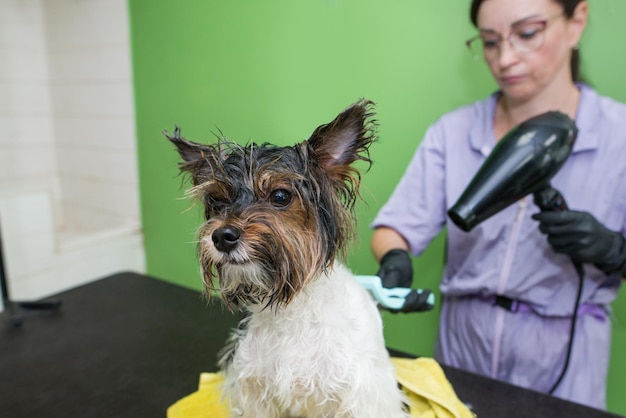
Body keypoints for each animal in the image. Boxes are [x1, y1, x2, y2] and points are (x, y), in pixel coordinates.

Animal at [166, 99, 408, 416]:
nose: (221, 236)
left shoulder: (356, 398)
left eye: (280, 196)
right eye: (217, 201)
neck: (290, 312)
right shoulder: (255, 392)